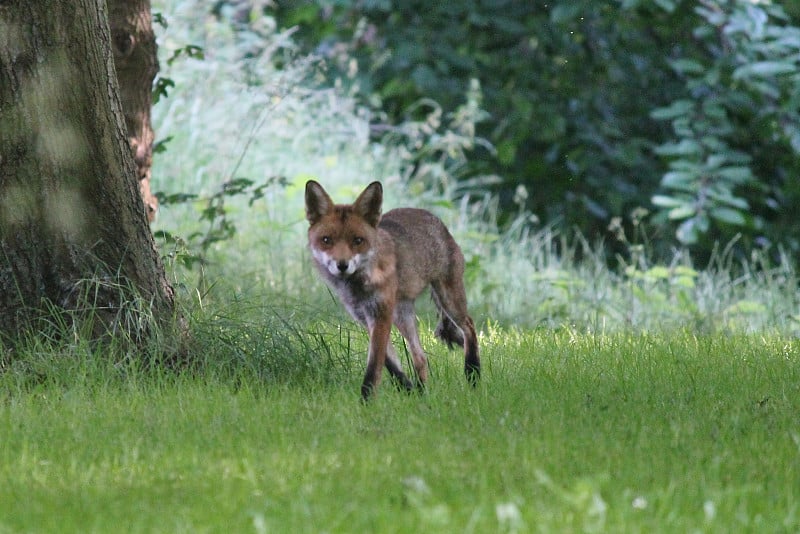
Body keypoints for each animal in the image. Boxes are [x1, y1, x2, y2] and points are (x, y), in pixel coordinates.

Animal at [304, 182, 482, 400]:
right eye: (326, 240)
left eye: (358, 241)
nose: (342, 265)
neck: (359, 288)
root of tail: (434, 218)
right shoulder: (365, 318)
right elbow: (391, 364)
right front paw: (407, 388)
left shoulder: (381, 315)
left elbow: (373, 369)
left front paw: (366, 403)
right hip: (403, 315)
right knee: (420, 357)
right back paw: (422, 394)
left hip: (448, 300)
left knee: (469, 326)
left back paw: (473, 373)